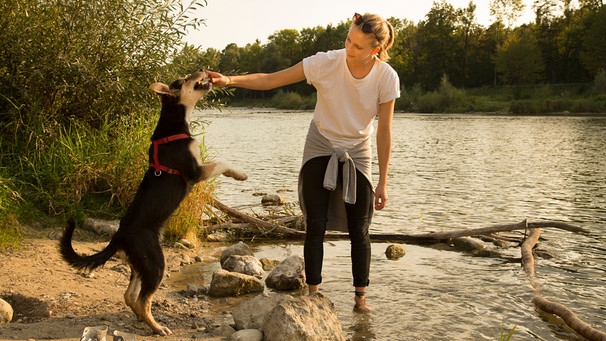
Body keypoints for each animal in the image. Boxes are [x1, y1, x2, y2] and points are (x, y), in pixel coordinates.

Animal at [57, 69, 247, 334]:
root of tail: (119, 237)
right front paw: (239, 174)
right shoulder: (195, 172)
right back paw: (157, 327)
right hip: (156, 263)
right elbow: (221, 162)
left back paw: (142, 319)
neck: (173, 125)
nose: (203, 69)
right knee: (143, 300)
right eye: (185, 79)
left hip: (142, 265)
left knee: (130, 296)